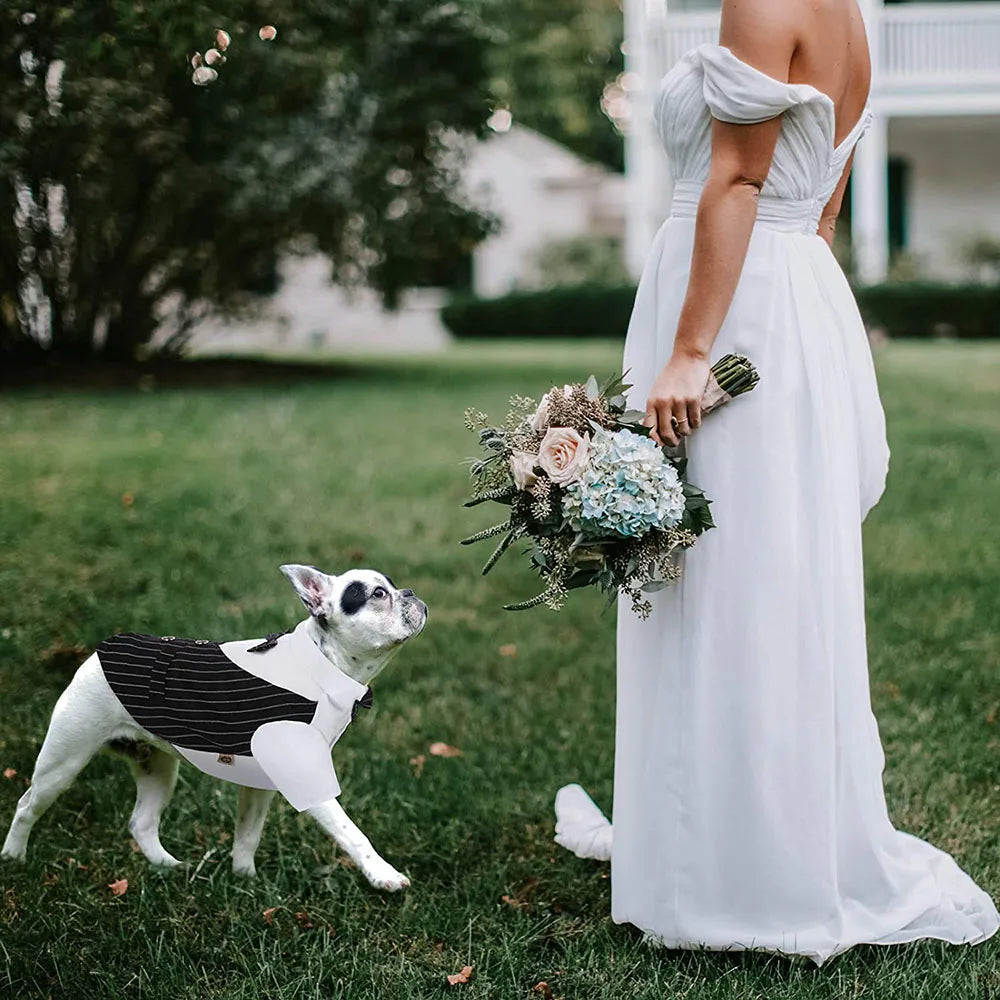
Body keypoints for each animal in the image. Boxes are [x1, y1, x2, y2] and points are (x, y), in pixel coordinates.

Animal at [0, 564, 424, 892]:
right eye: (378, 594)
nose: (411, 592)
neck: (321, 664)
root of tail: (98, 653)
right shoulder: (309, 781)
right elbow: (352, 832)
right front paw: (383, 875)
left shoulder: (261, 785)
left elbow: (248, 834)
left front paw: (245, 881)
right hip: (64, 759)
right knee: (27, 805)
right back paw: (14, 857)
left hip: (156, 767)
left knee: (142, 823)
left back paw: (168, 866)